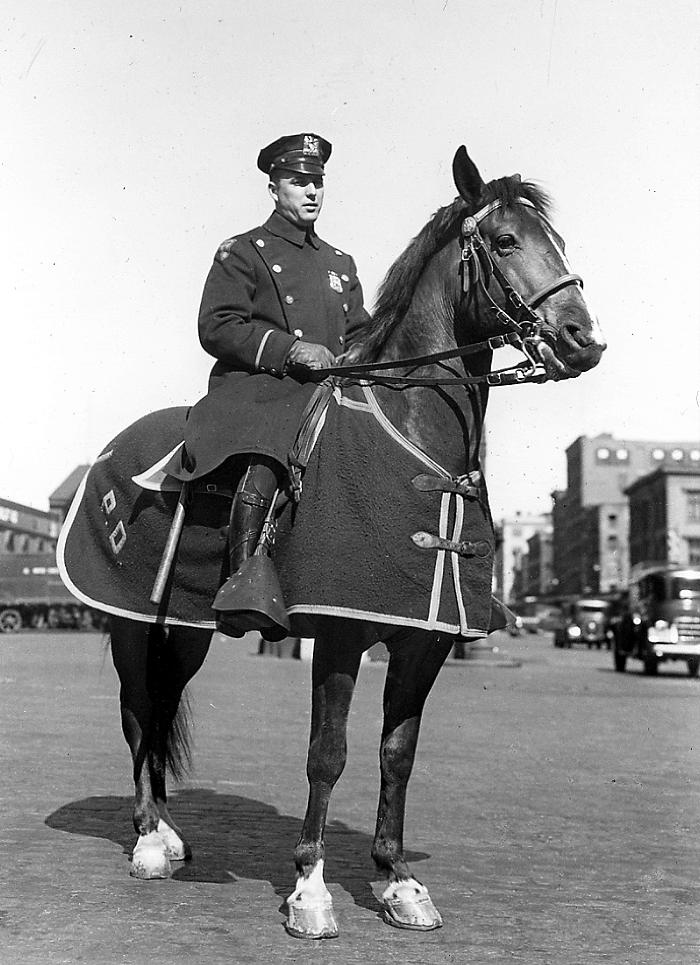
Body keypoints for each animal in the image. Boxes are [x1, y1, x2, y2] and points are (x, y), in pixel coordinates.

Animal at [58, 147, 608, 936]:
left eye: (558, 242)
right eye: (506, 242)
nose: (581, 339)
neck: (414, 434)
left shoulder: (424, 638)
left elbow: (396, 753)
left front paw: (398, 880)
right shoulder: (341, 630)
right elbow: (329, 753)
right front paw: (311, 888)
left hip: (186, 631)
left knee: (160, 709)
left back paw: (166, 830)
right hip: (129, 622)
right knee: (137, 716)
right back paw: (148, 840)